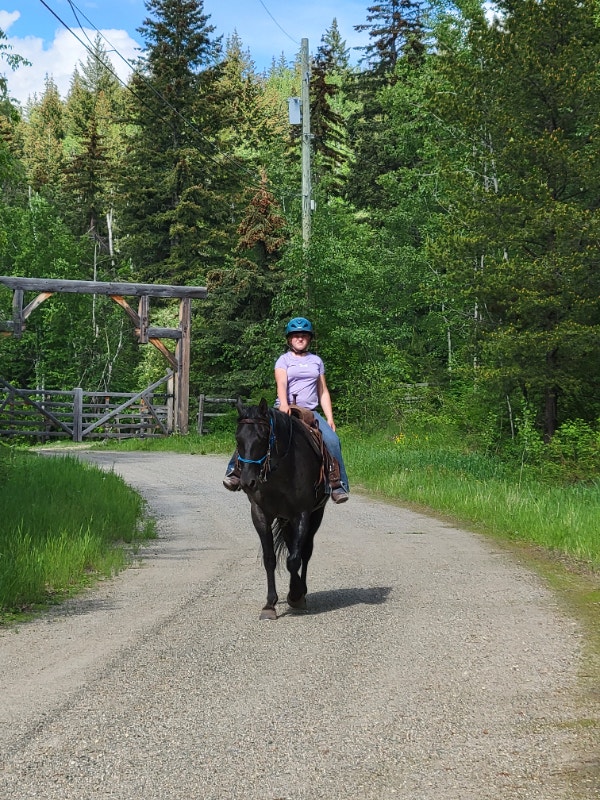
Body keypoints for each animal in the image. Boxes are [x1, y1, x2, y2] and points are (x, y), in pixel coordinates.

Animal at [234, 398, 329, 620]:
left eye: (262, 438)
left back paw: (301, 590)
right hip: (285, 519)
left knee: (305, 551)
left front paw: (295, 595)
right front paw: (270, 604)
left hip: (315, 515)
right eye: (237, 439)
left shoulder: (302, 514)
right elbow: (270, 558)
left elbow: (294, 559)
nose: (247, 482)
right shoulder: (260, 514)